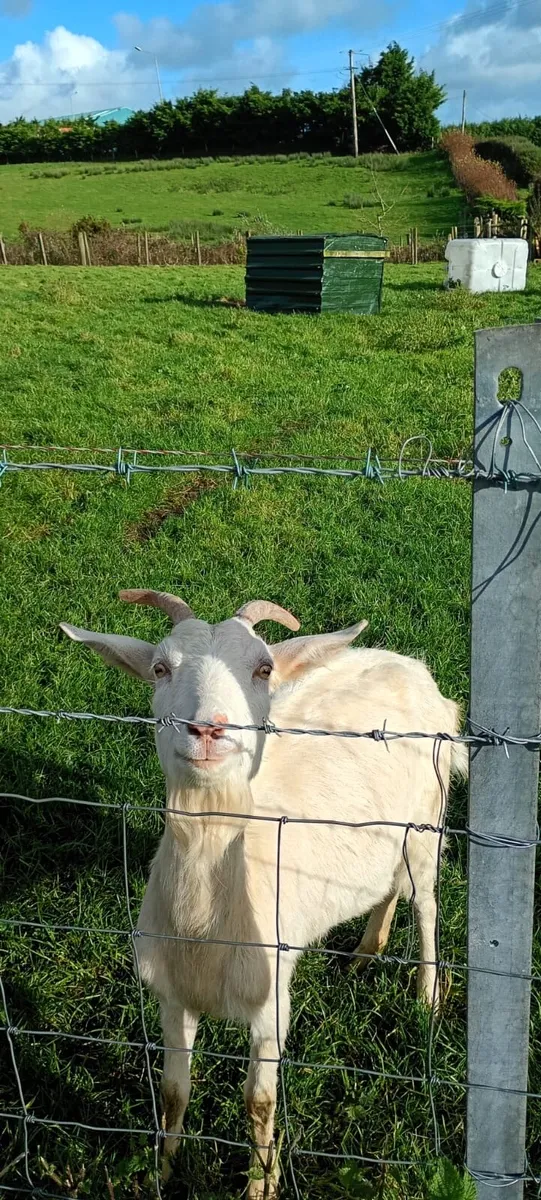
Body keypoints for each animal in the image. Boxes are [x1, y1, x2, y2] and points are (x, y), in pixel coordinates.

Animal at [60, 590, 466, 1197]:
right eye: (159, 668)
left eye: (263, 668)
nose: (207, 729)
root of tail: (413, 668)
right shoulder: (172, 995)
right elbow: (173, 1092)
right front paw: (163, 1171)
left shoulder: (273, 997)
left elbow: (259, 1101)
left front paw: (261, 1184)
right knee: (389, 885)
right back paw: (365, 951)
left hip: (426, 822)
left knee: (427, 904)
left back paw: (426, 997)